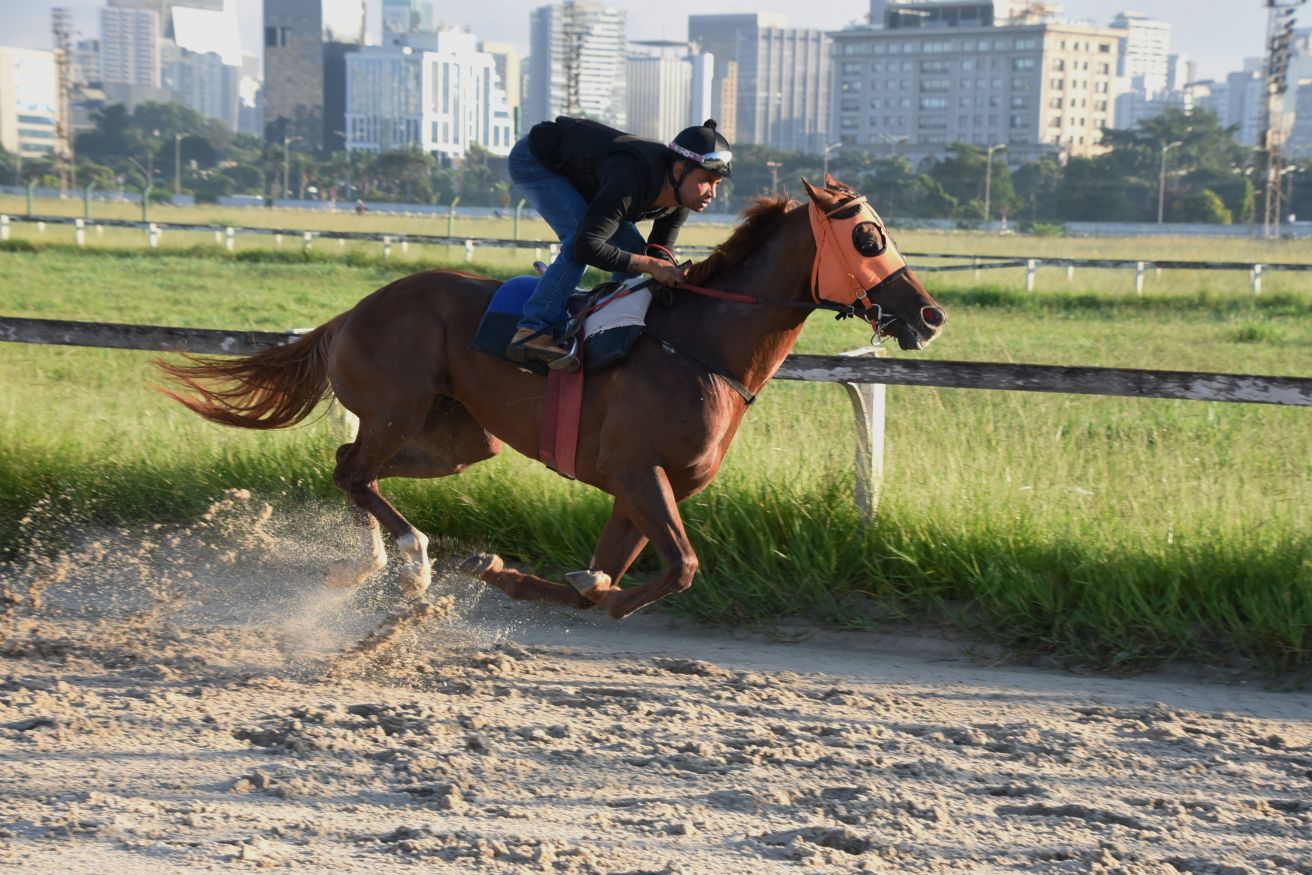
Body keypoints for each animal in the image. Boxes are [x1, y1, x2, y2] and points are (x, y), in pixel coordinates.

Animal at [158, 176, 946, 620]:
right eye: (868, 236)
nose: (930, 315)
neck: (702, 347)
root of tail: (352, 312)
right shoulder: (637, 472)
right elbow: (678, 568)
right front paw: (562, 584)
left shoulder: (644, 489)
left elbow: (606, 579)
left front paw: (509, 572)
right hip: (398, 407)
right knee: (355, 470)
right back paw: (408, 557)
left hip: (459, 440)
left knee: (350, 464)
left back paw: (367, 562)